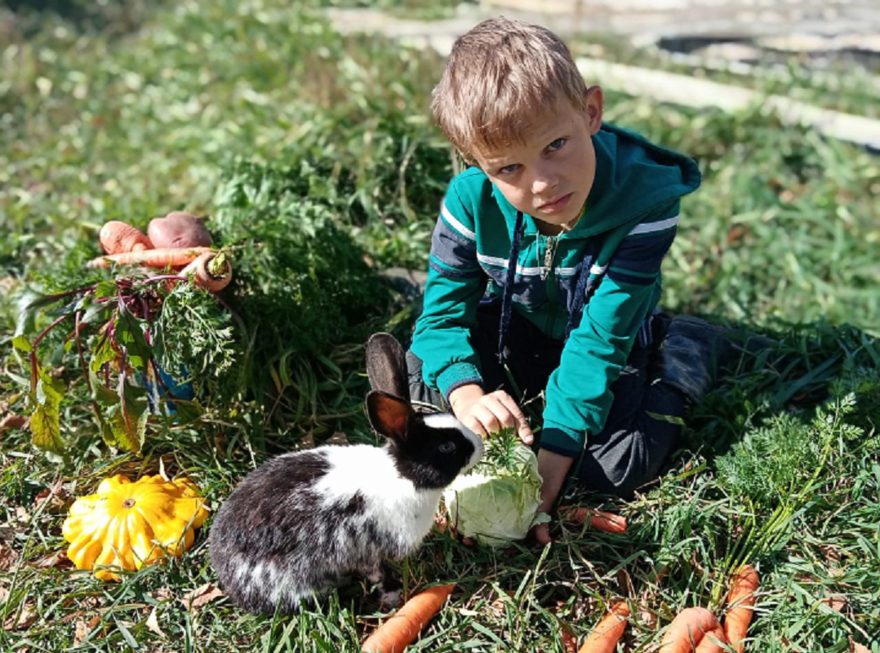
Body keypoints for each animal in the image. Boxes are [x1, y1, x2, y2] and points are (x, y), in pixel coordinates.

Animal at [208, 334, 482, 612]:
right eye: (446, 447)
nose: (479, 445)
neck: (403, 476)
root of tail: (226, 572)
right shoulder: (366, 550)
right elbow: (378, 573)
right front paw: (393, 596)